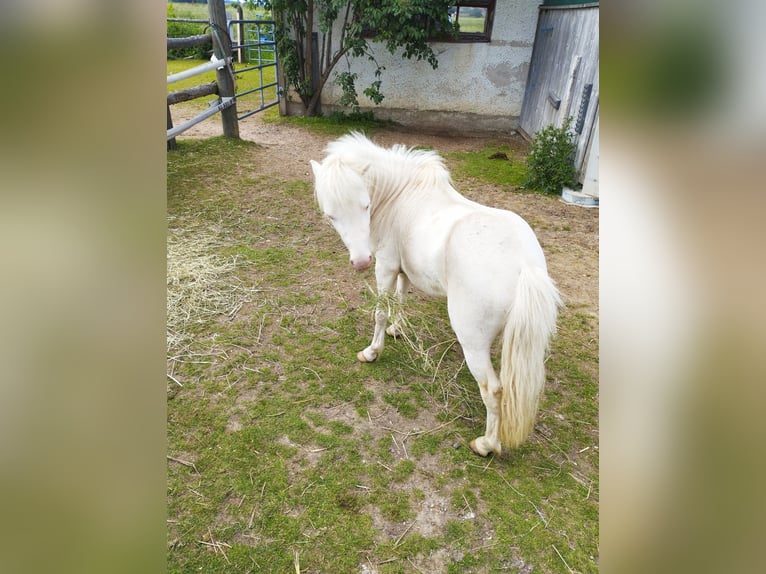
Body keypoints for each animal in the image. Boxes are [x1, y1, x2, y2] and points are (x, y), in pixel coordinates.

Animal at [312, 133, 564, 456]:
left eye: (365, 206)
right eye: (331, 215)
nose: (360, 262)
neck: (400, 197)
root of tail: (524, 265)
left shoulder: (385, 265)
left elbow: (381, 311)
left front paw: (372, 351)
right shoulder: (402, 268)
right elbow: (401, 297)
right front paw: (398, 328)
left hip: (471, 340)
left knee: (493, 389)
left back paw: (486, 444)